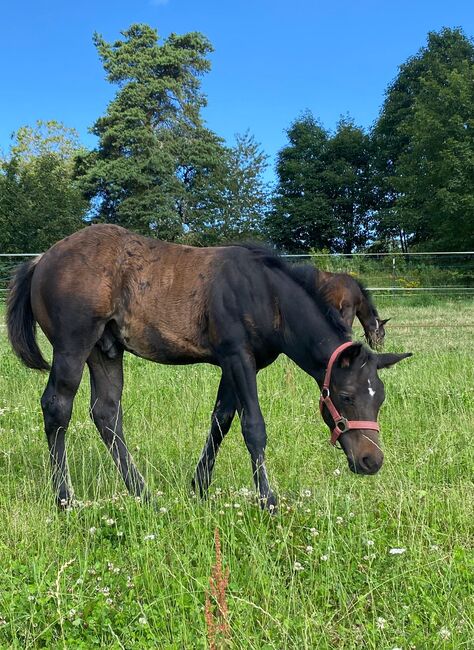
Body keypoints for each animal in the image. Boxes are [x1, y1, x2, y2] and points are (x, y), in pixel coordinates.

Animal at [5, 225, 412, 508]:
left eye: (379, 399)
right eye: (345, 396)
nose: (371, 460)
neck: (267, 295)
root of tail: (41, 259)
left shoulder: (236, 364)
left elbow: (222, 419)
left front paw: (199, 488)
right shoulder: (237, 357)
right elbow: (253, 427)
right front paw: (269, 502)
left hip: (104, 351)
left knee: (105, 412)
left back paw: (144, 495)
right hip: (73, 345)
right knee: (57, 407)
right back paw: (65, 499)